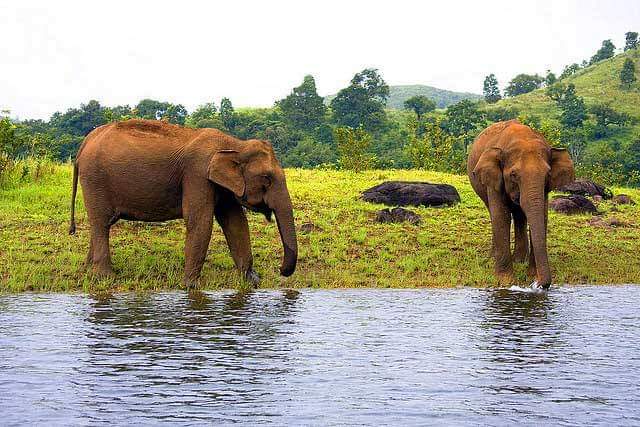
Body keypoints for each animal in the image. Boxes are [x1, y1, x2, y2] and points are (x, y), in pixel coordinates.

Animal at [69, 118, 298, 290]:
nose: (281, 270)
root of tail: (85, 142)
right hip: (95, 180)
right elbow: (200, 221)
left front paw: (252, 282)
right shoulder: (197, 174)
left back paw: (87, 271)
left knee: (100, 225)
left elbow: (235, 222)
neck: (234, 144)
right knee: (101, 223)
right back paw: (105, 277)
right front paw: (191, 286)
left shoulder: (221, 185)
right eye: (267, 178)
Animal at [464, 120, 576, 290]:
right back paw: (493, 258)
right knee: (494, 213)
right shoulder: (495, 181)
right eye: (513, 175)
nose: (537, 284)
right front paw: (505, 282)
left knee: (519, 216)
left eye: (548, 174)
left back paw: (519, 260)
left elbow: (542, 215)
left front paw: (531, 276)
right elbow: (501, 216)